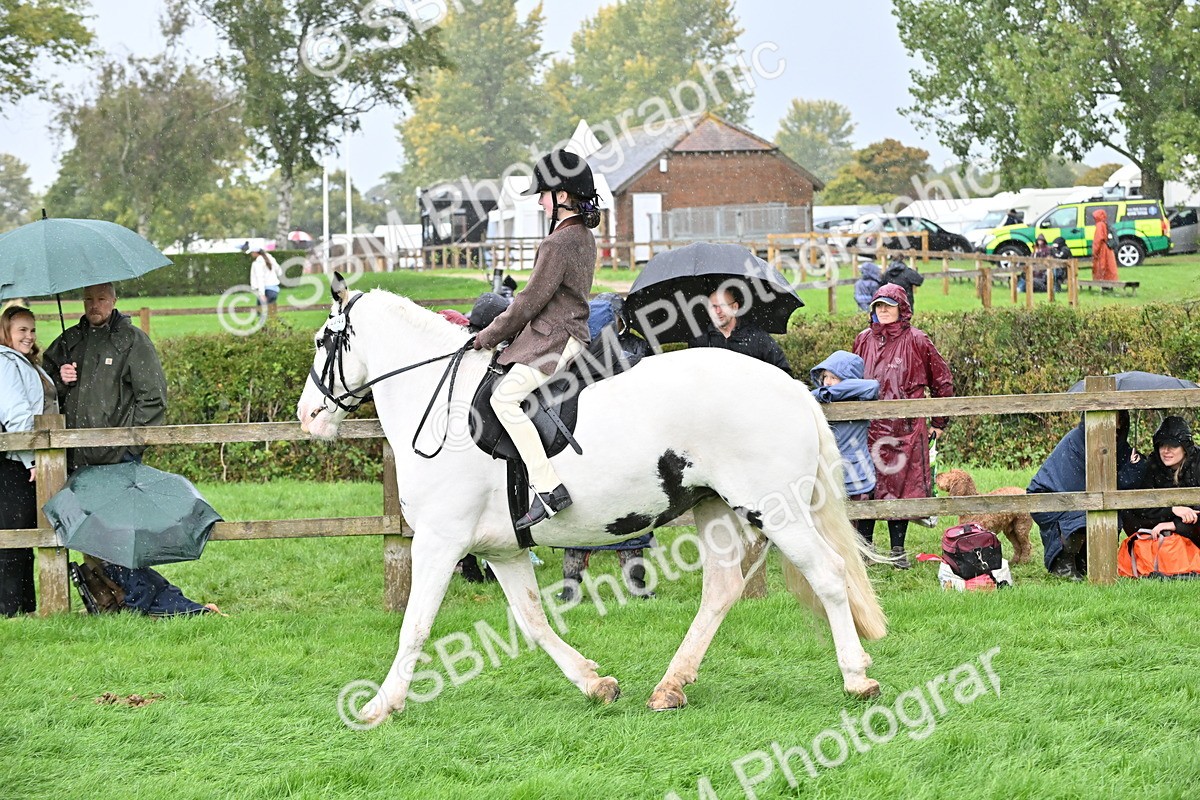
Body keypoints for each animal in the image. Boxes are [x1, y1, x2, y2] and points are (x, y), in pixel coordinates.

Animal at [297, 279, 886, 725]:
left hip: (775, 510)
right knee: (721, 590)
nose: (307, 416)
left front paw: (379, 706)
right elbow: (533, 621)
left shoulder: (440, 542)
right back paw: (671, 686)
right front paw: (594, 683)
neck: (445, 405)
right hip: (715, 509)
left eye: (325, 339)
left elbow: (416, 625)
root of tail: (791, 387)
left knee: (828, 575)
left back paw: (856, 677)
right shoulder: (503, 550)